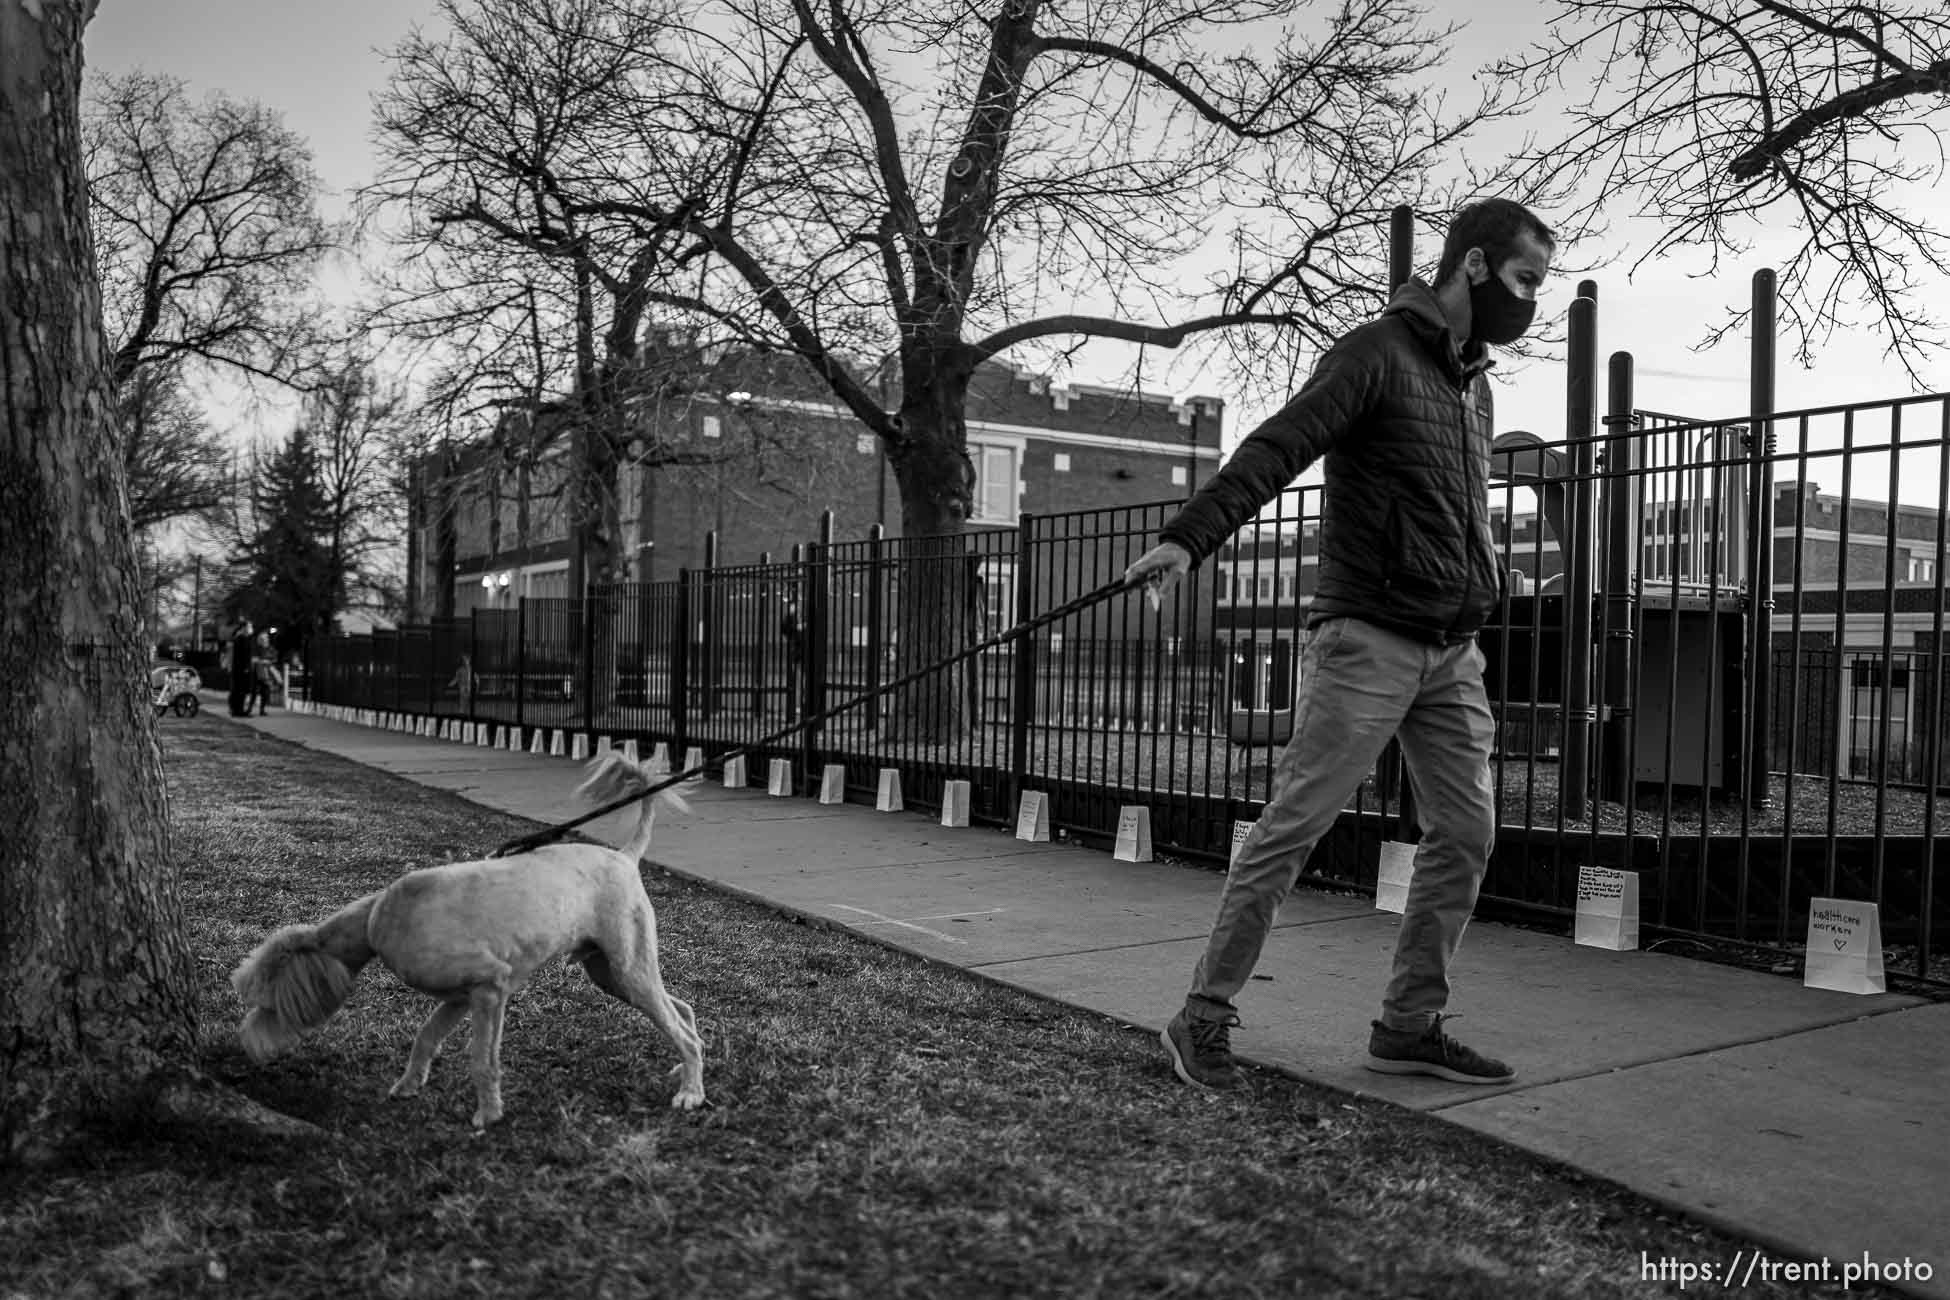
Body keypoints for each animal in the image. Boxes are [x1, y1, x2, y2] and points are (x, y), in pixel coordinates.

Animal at [230, 752, 702, 1130]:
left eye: (267, 1005)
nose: (246, 1046)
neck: (379, 917)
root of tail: (625, 857)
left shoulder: (491, 987)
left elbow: (481, 1060)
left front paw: (488, 1114)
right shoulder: (459, 996)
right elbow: (425, 1036)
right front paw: (408, 1084)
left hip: (626, 965)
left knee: (681, 1027)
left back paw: (691, 1091)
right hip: (612, 971)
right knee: (681, 1010)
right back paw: (683, 1069)